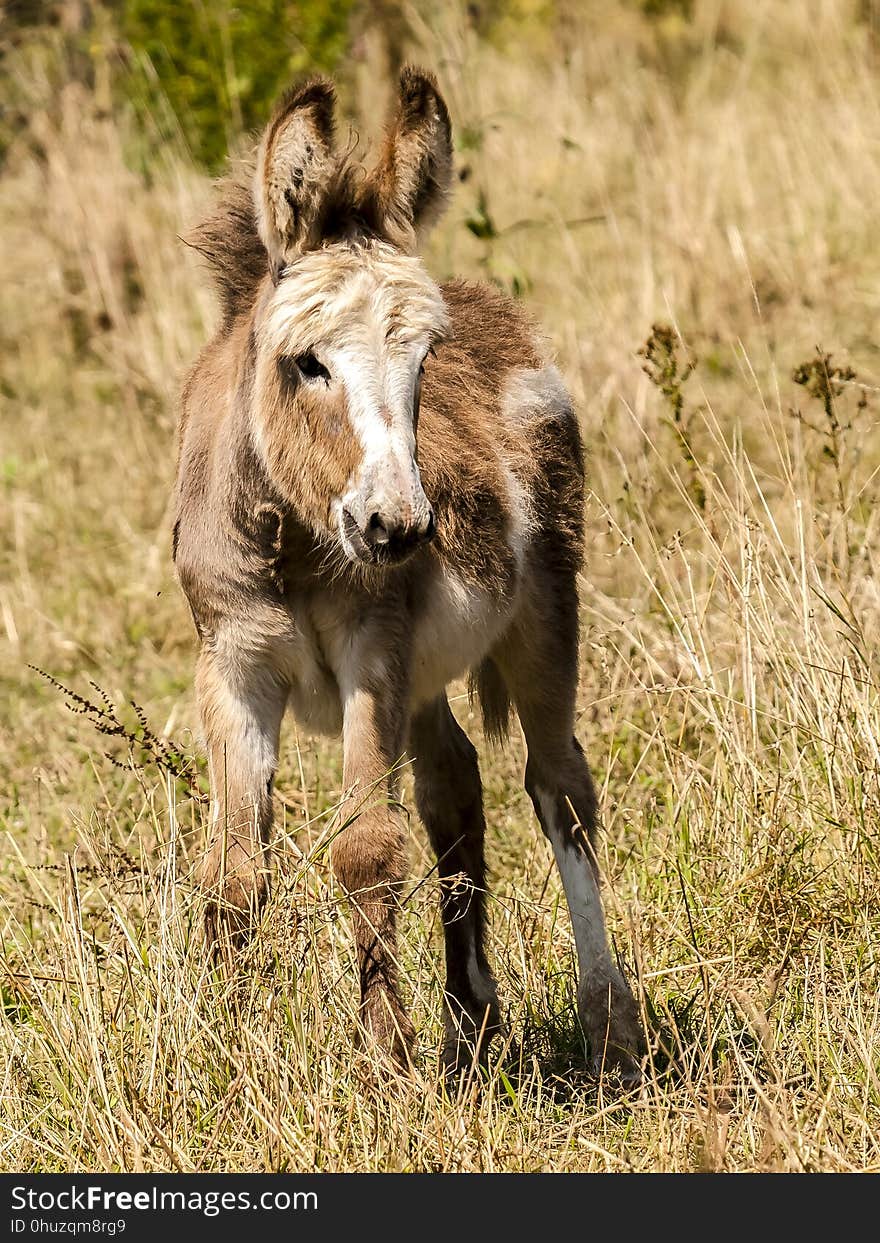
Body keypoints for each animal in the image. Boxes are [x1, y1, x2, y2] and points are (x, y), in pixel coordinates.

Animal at [174, 65, 641, 1078]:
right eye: (307, 364)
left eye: (426, 361)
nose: (399, 528)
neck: (293, 538)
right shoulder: (234, 666)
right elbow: (234, 872)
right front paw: (222, 1057)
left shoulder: (371, 655)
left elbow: (366, 849)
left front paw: (386, 1062)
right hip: (426, 676)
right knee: (455, 785)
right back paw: (471, 1017)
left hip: (542, 618)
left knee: (561, 790)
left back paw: (608, 1024)